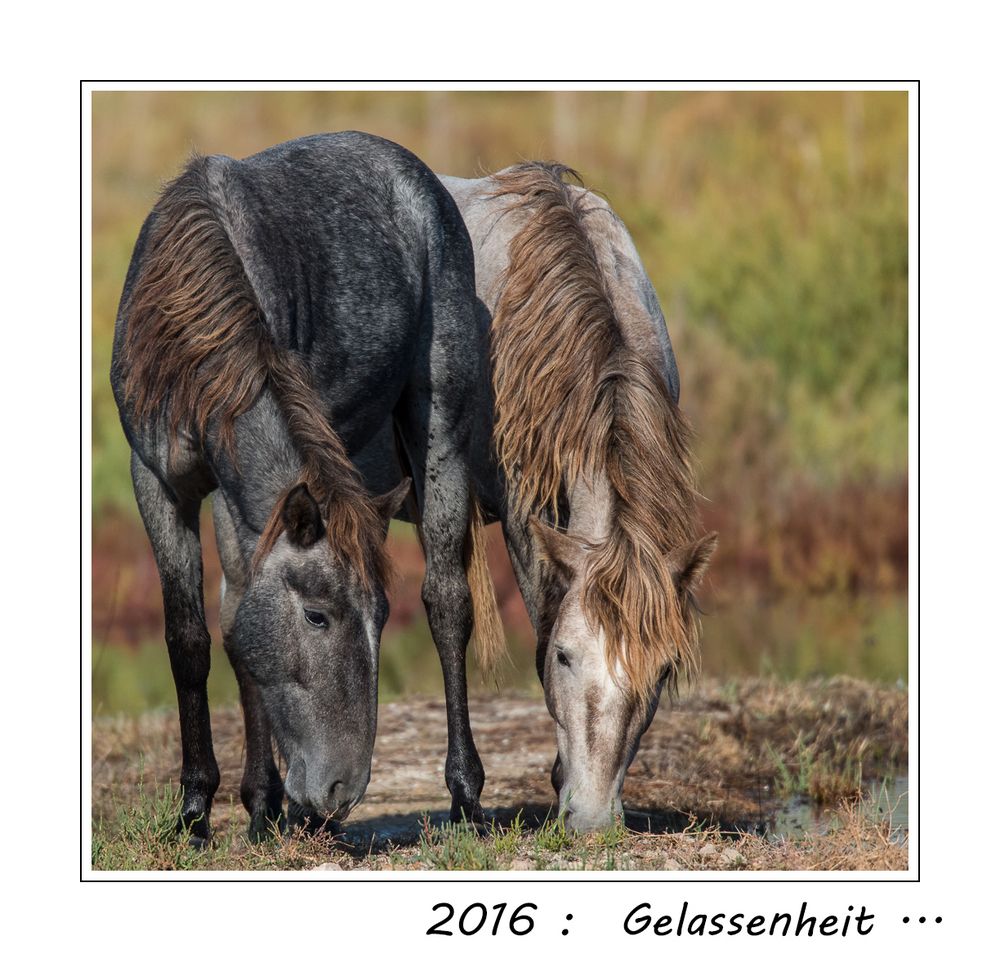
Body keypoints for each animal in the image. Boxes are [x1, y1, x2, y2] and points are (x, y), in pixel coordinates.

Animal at [112, 132, 504, 840]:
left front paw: (265, 804)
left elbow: (237, 626)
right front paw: (199, 809)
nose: (342, 790)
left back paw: (465, 797)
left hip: (439, 428)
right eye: (317, 615)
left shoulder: (238, 504)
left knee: (447, 603)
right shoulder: (158, 482)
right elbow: (193, 638)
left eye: (381, 618)